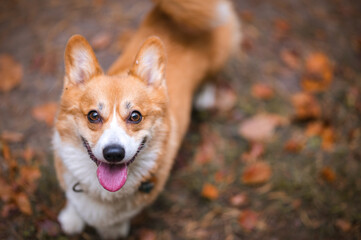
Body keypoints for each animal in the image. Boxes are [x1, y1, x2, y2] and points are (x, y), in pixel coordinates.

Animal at [52, 0, 239, 237]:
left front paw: (113, 230)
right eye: (93, 115)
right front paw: (72, 218)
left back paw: (205, 96)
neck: (103, 190)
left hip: (218, 59)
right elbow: (73, 200)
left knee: (212, 76)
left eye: (135, 116)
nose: (114, 153)